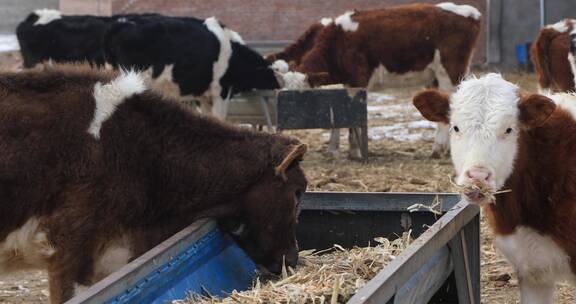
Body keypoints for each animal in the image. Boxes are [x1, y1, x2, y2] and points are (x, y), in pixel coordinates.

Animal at [270, 2, 482, 159]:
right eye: (282, 92)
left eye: (304, 94)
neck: (338, 41)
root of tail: (471, 13)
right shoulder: (346, 83)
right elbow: (340, 115)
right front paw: (338, 150)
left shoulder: (358, 81)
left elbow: (351, 118)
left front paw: (353, 153)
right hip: (434, 77)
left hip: (450, 73)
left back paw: (438, 150)